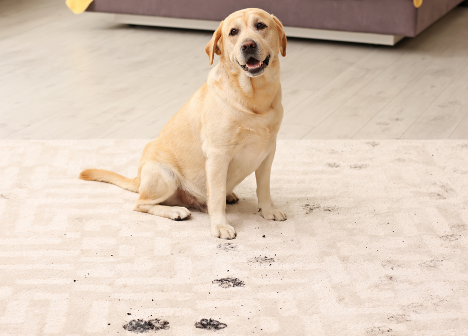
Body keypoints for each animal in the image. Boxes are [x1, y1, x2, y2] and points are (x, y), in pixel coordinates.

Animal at [78, 7, 288, 239]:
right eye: (233, 32)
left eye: (260, 26)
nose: (248, 45)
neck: (254, 99)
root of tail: (138, 179)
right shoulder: (218, 155)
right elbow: (216, 199)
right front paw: (220, 226)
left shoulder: (268, 152)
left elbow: (264, 188)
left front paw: (268, 211)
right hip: (165, 175)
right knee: (141, 204)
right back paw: (176, 211)